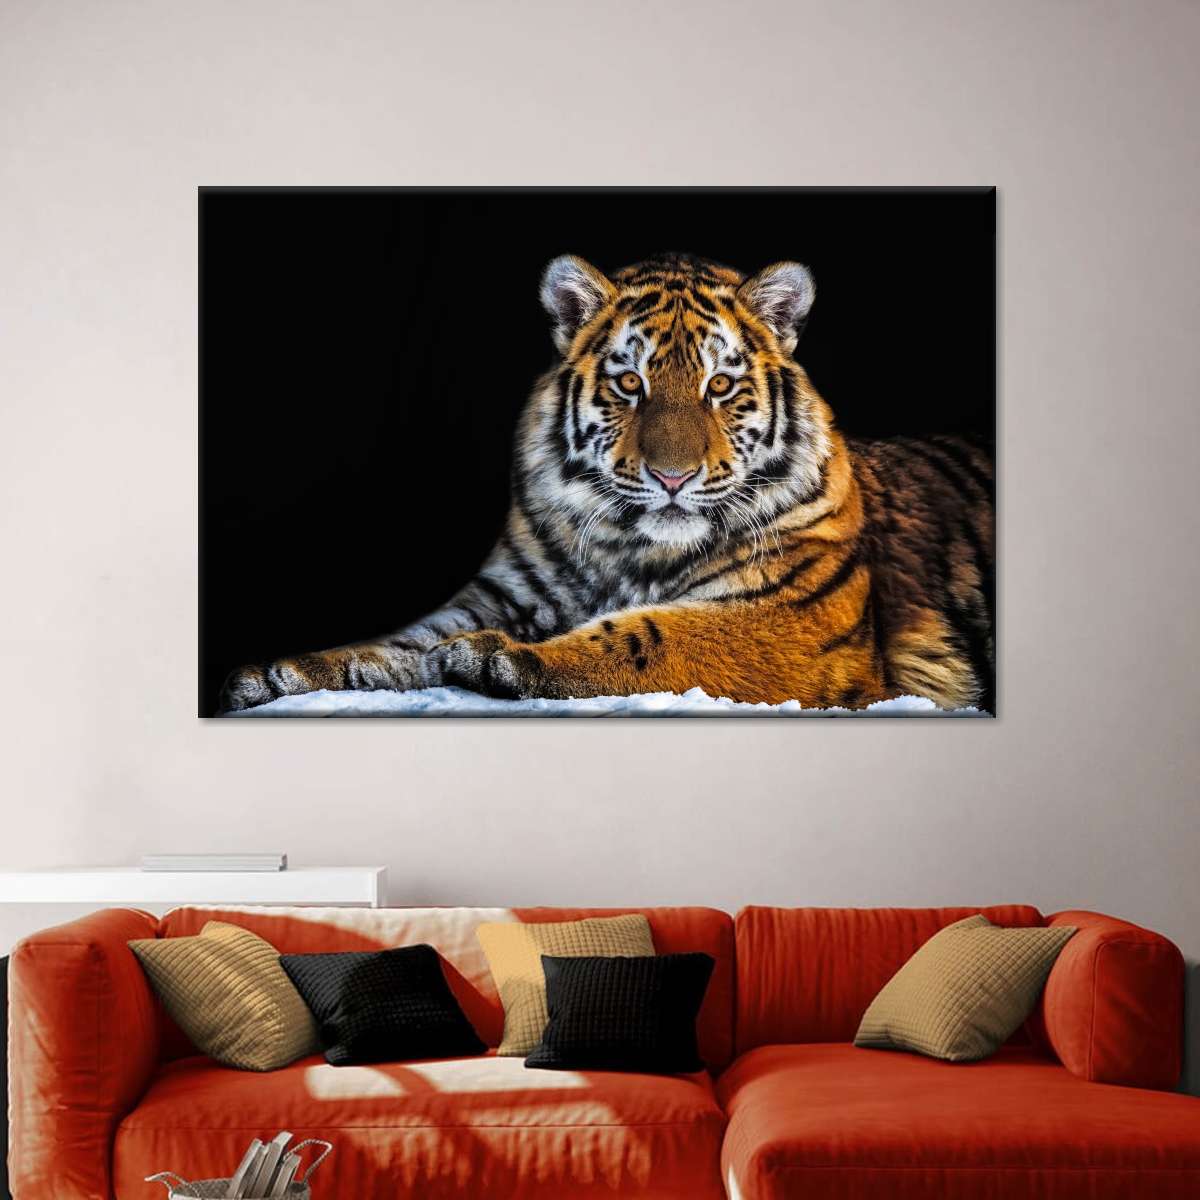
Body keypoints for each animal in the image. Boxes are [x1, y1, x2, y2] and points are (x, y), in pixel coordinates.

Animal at [219, 252, 994, 715]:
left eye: (719, 387)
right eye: (630, 384)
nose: (673, 476)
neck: (628, 549)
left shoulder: (790, 618)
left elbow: (653, 636)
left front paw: (498, 659)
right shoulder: (501, 593)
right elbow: (400, 643)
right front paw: (287, 672)